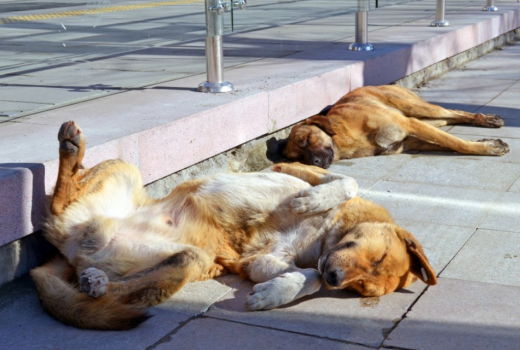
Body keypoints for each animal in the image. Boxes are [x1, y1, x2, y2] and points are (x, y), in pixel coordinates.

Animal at [28, 121, 434, 330]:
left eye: (359, 289)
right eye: (377, 257)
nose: (336, 279)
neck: (324, 238)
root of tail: (65, 254)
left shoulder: (257, 262)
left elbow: (308, 276)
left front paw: (275, 293)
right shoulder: (290, 169)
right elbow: (348, 182)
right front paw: (311, 200)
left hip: (190, 260)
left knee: (124, 287)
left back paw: (95, 283)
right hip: (123, 169)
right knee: (59, 199)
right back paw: (70, 148)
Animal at [282, 84, 510, 167]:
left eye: (306, 140)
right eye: (297, 158)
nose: (315, 162)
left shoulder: (409, 125)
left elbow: (457, 143)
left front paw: (487, 147)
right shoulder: (410, 141)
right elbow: (449, 143)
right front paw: (487, 143)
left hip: (415, 109)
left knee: (454, 112)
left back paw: (487, 119)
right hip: (425, 118)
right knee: (449, 119)